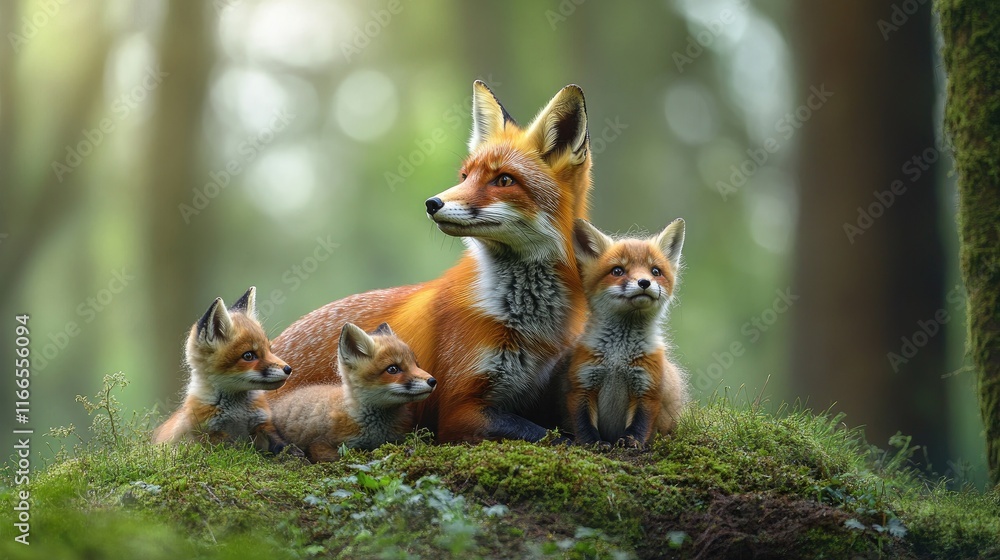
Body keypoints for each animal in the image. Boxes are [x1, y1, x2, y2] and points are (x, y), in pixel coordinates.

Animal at [152, 287, 296, 455]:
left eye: (269, 350)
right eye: (248, 355)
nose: (288, 369)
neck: (237, 411)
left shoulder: (261, 422)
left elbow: (279, 441)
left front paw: (292, 453)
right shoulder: (207, 434)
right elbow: (232, 450)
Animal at [269, 81, 593, 443]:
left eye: (504, 180)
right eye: (465, 176)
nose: (432, 203)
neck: (529, 325)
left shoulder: (540, 392)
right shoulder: (458, 409)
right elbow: (549, 436)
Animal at [561, 219, 689, 447]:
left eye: (655, 271)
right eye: (618, 271)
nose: (644, 282)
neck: (618, 358)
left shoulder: (647, 387)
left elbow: (640, 424)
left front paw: (632, 443)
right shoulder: (582, 384)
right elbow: (583, 423)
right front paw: (593, 443)